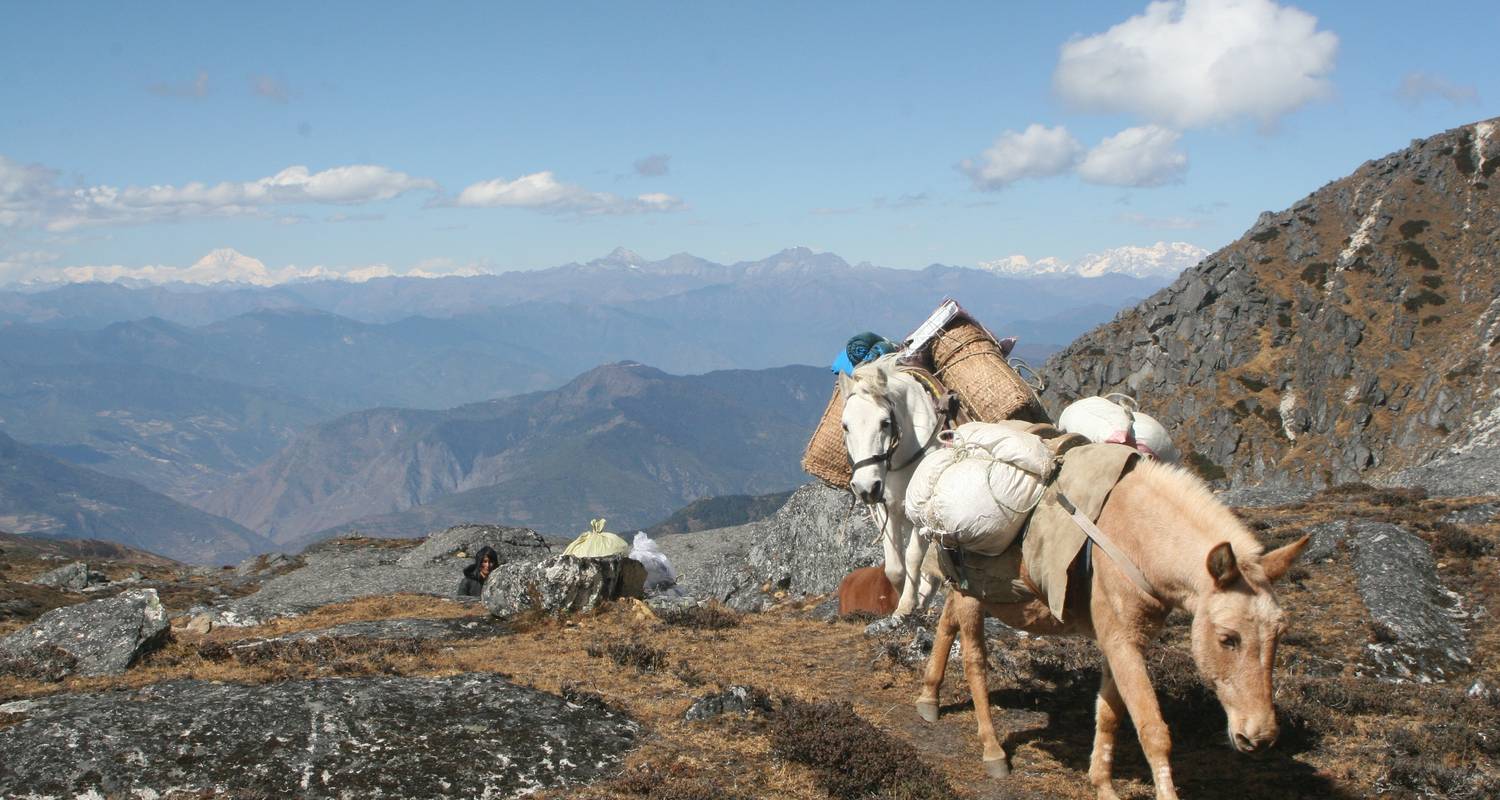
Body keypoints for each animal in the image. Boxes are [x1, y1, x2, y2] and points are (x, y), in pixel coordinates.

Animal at [840, 355, 942, 618]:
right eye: (845, 426)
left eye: (885, 423)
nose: (865, 487)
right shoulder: (887, 508)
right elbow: (895, 568)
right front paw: (903, 601)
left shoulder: (920, 515)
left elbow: (914, 558)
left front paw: (906, 606)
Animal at [906, 456, 1308, 798]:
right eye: (1228, 639)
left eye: (1279, 634)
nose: (1259, 737)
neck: (1139, 540)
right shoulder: (1121, 641)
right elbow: (1152, 728)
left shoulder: (1125, 641)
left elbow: (1110, 713)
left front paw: (1102, 784)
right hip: (972, 594)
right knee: (974, 661)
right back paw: (992, 751)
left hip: (966, 591)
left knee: (946, 622)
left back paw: (928, 698)